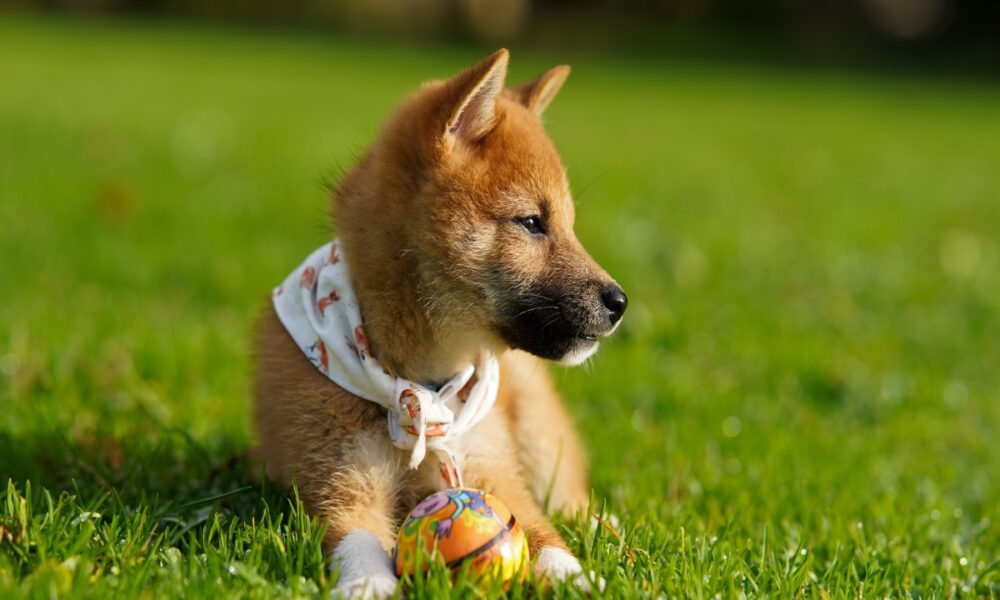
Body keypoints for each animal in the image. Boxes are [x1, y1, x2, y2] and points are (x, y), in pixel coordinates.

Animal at [258, 49, 628, 596]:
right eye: (532, 222)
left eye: (570, 226)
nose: (620, 302)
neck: (421, 383)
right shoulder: (342, 481)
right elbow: (358, 540)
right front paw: (368, 583)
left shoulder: (493, 471)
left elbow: (545, 534)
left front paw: (575, 578)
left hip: (539, 435)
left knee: (570, 499)